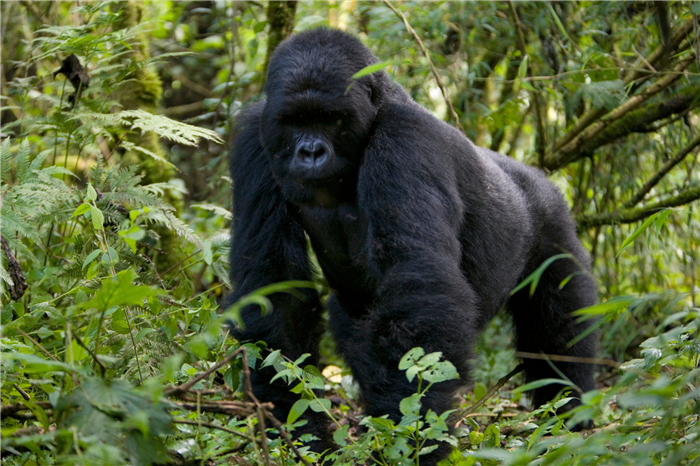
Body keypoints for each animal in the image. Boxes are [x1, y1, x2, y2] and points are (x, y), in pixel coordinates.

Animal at [227, 28, 600, 462]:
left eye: (331, 119)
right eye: (294, 121)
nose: (311, 152)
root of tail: (535, 176)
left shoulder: (406, 140)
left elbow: (420, 284)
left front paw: (410, 443)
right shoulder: (254, 140)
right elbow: (275, 286)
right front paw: (298, 430)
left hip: (551, 222)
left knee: (559, 328)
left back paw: (567, 414)